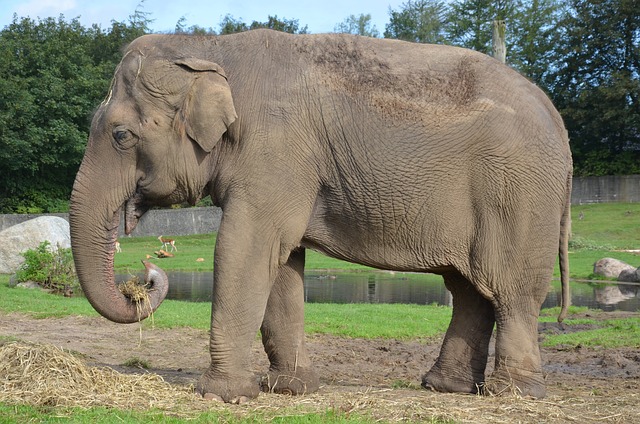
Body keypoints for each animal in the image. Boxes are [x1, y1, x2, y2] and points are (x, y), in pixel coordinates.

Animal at [69, 29, 568, 400]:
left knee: (510, 289)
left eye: (120, 135)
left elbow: (246, 245)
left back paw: (511, 394)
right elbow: (282, 259)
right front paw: (290, 389)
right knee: (468, 288)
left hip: (517, 194)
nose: (145, 271)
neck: (208, 46)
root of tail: (554, 112)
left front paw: (222, 395)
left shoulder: (276, 149)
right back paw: (445, 387)